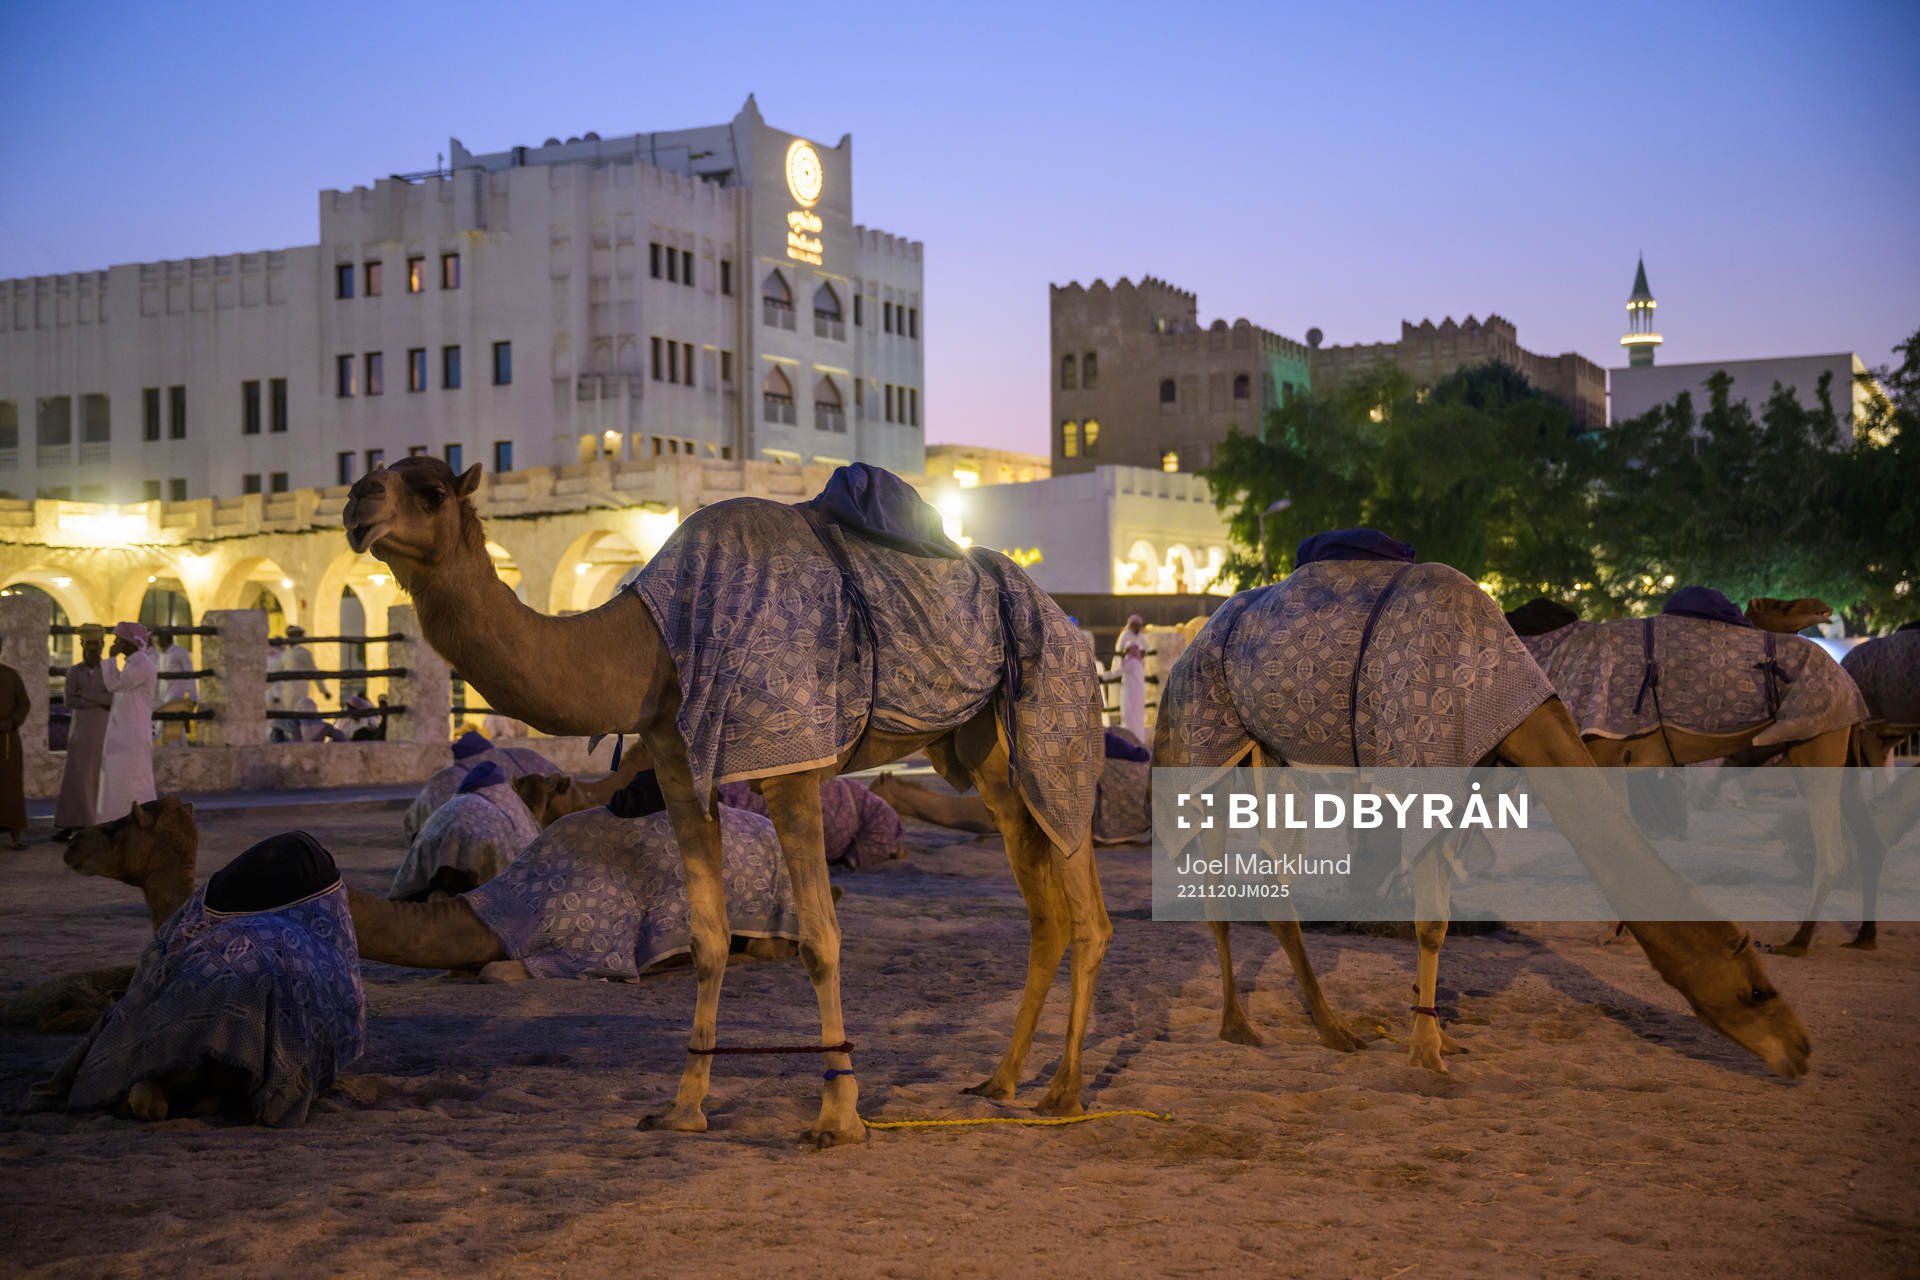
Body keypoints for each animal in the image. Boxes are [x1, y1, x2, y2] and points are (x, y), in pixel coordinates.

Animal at [344, 457, 1108, 1144]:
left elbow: (820, 940)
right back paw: (1001, 1081)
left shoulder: (790, 764)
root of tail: (1069, 622)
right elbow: (707, 940)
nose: (357, 502)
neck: (652, 644)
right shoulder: (680, 773)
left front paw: (838, 1119)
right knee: (1044, 909)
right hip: (990, 757)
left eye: (431, 490)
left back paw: (1064, 1093)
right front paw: (683, 1108)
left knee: (1084, 900)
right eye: (381, 470)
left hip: (1054, 728)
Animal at [1157, 536, 1811, 1078]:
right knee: (1216, 884)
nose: (1802, 1049)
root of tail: (1197, 635)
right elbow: (1428, 924)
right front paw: (1426, 1053)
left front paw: (1440, 1036)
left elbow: (1441, 918)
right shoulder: (1426, 758)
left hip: (1269, 756)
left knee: (1273, 886)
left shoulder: (1465, 779)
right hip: (1208, 732)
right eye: (1755, 990)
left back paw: (1332, 1028)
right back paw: (1238, 1025)